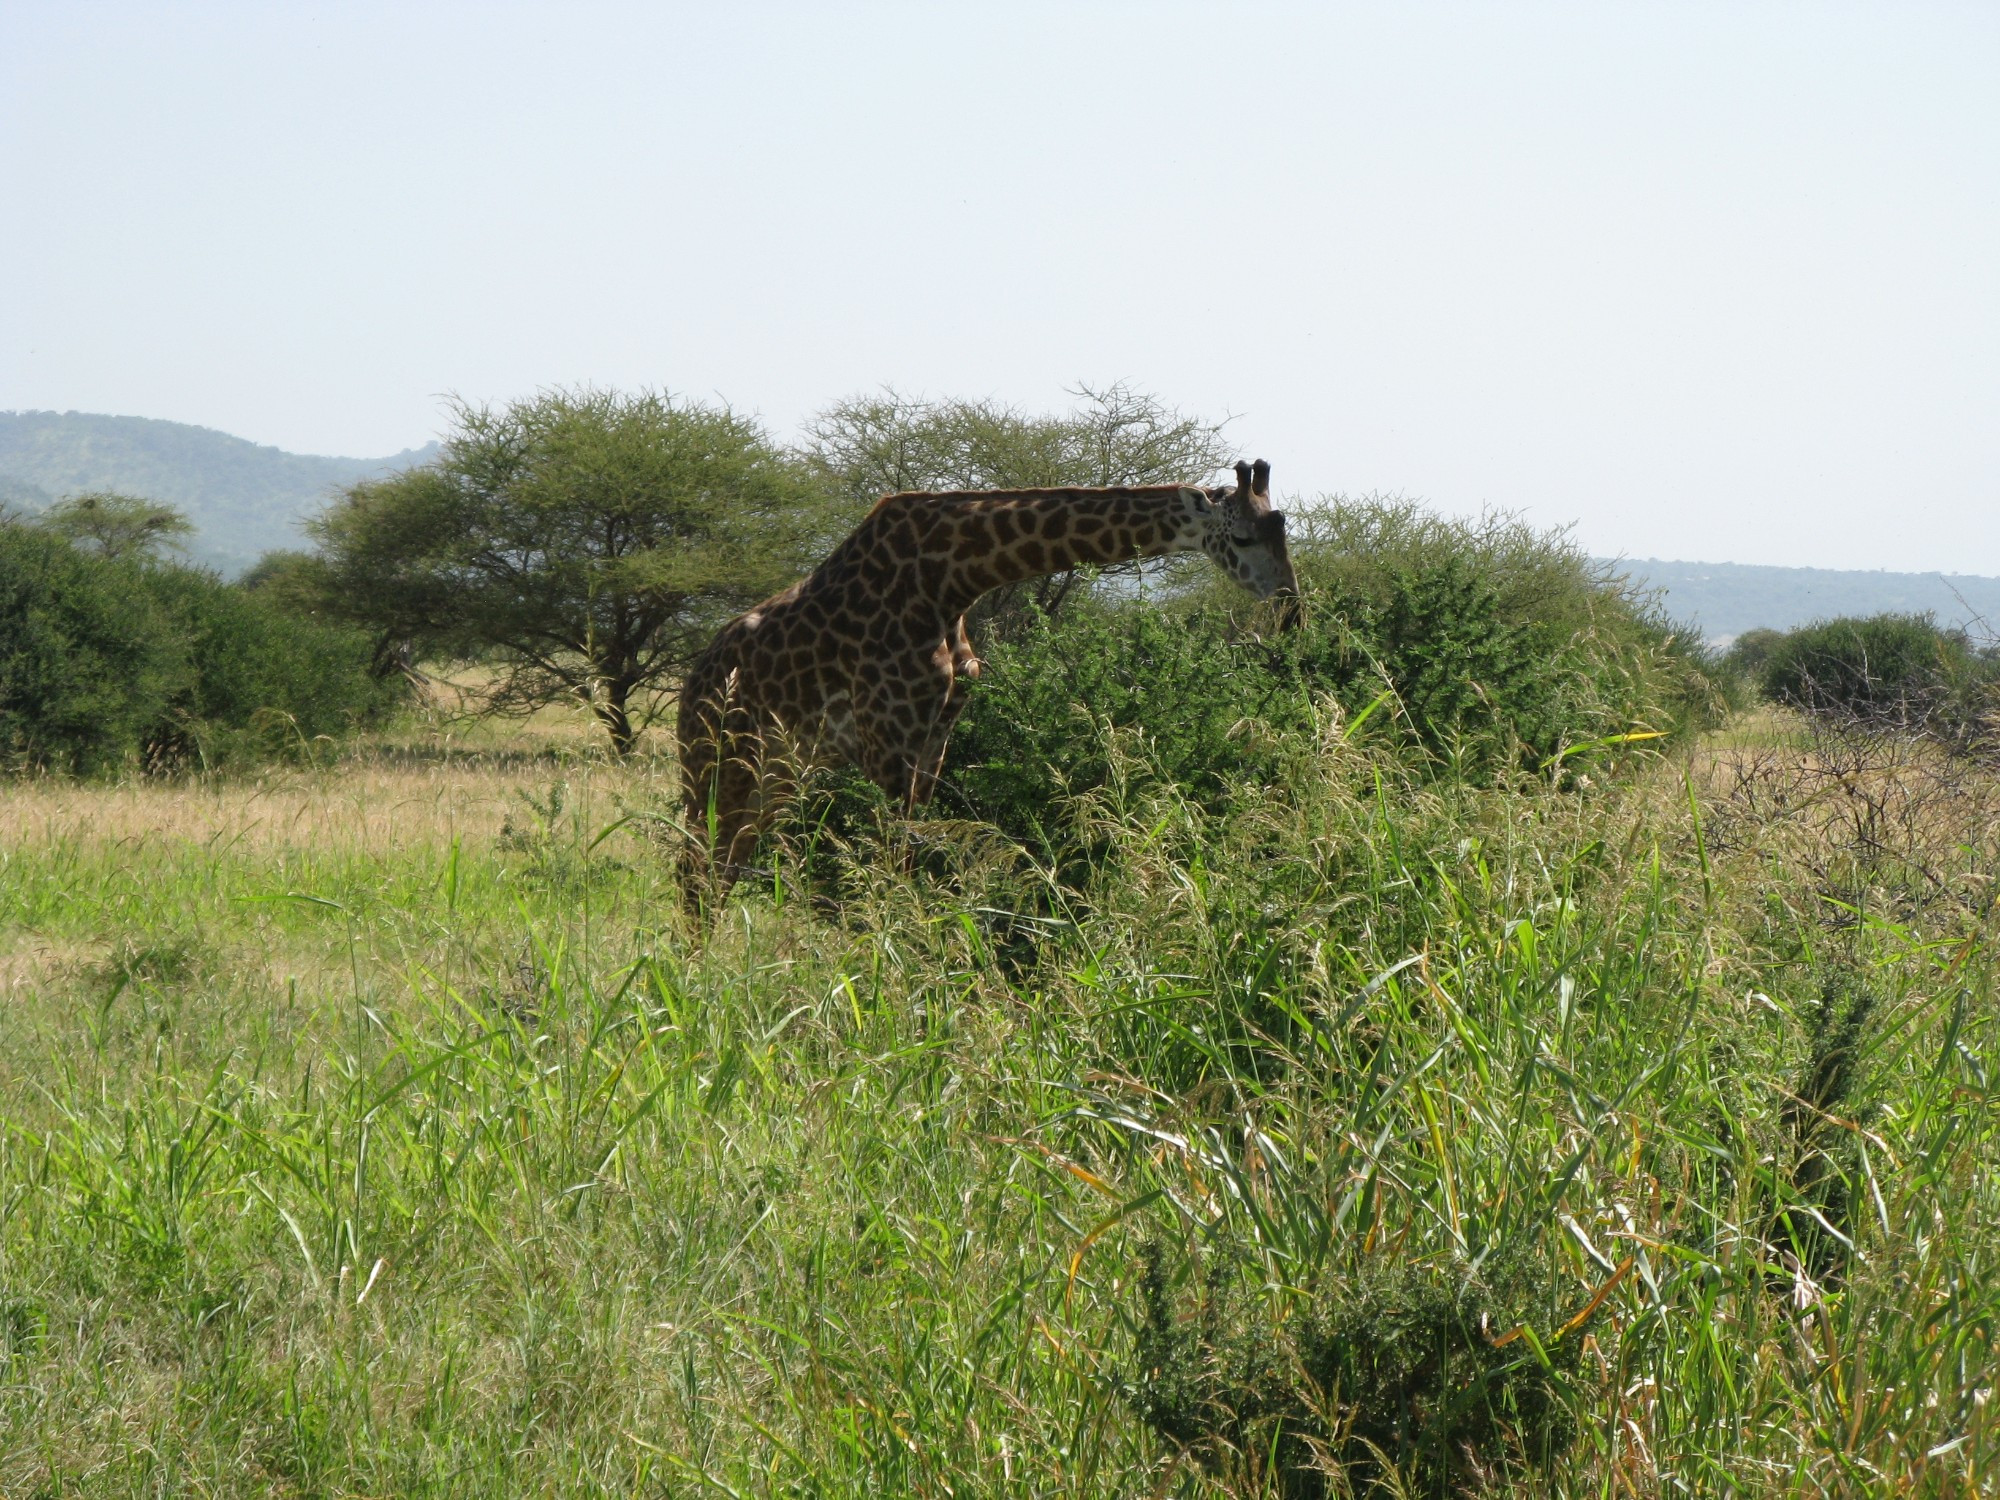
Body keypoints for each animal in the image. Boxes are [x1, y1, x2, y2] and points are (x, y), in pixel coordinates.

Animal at [676, 458, 1296, 900]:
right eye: (1243, 538)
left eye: (1282, 528)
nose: (1291, 607)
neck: (950, 580)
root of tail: (692, 685)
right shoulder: (887, 745)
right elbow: (888, 865)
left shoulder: (934, 739)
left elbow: (907, 859)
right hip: (715, 765)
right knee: (694, 867)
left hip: (775, 775)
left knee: (723, 867)